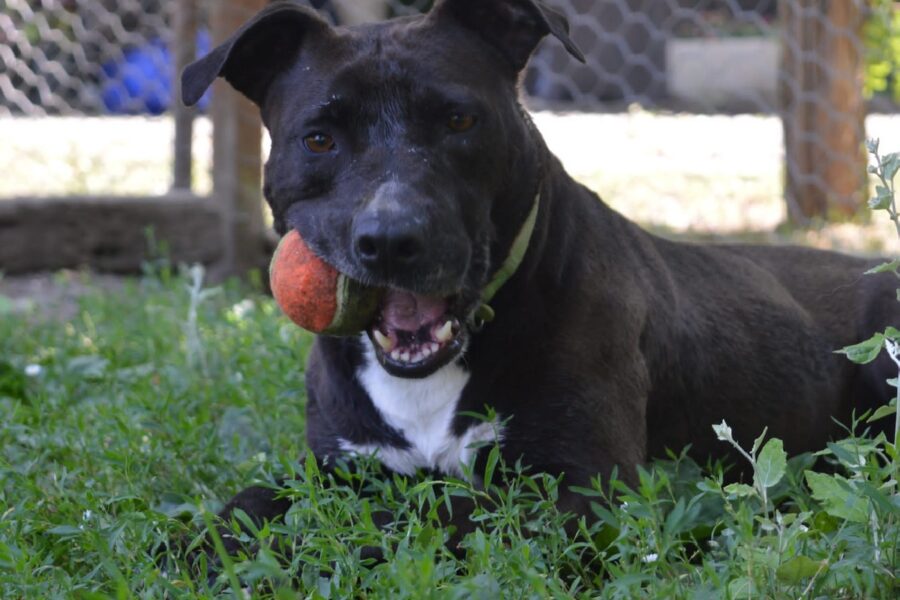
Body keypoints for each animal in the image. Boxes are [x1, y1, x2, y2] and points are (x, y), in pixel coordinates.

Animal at [181, 0, 892, 552]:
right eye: (319, 139)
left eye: (459, 119)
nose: (389, 239)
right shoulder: (339, 462)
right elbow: (253, 500)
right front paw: (197, 544)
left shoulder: (583, 488)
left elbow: (425, 511)